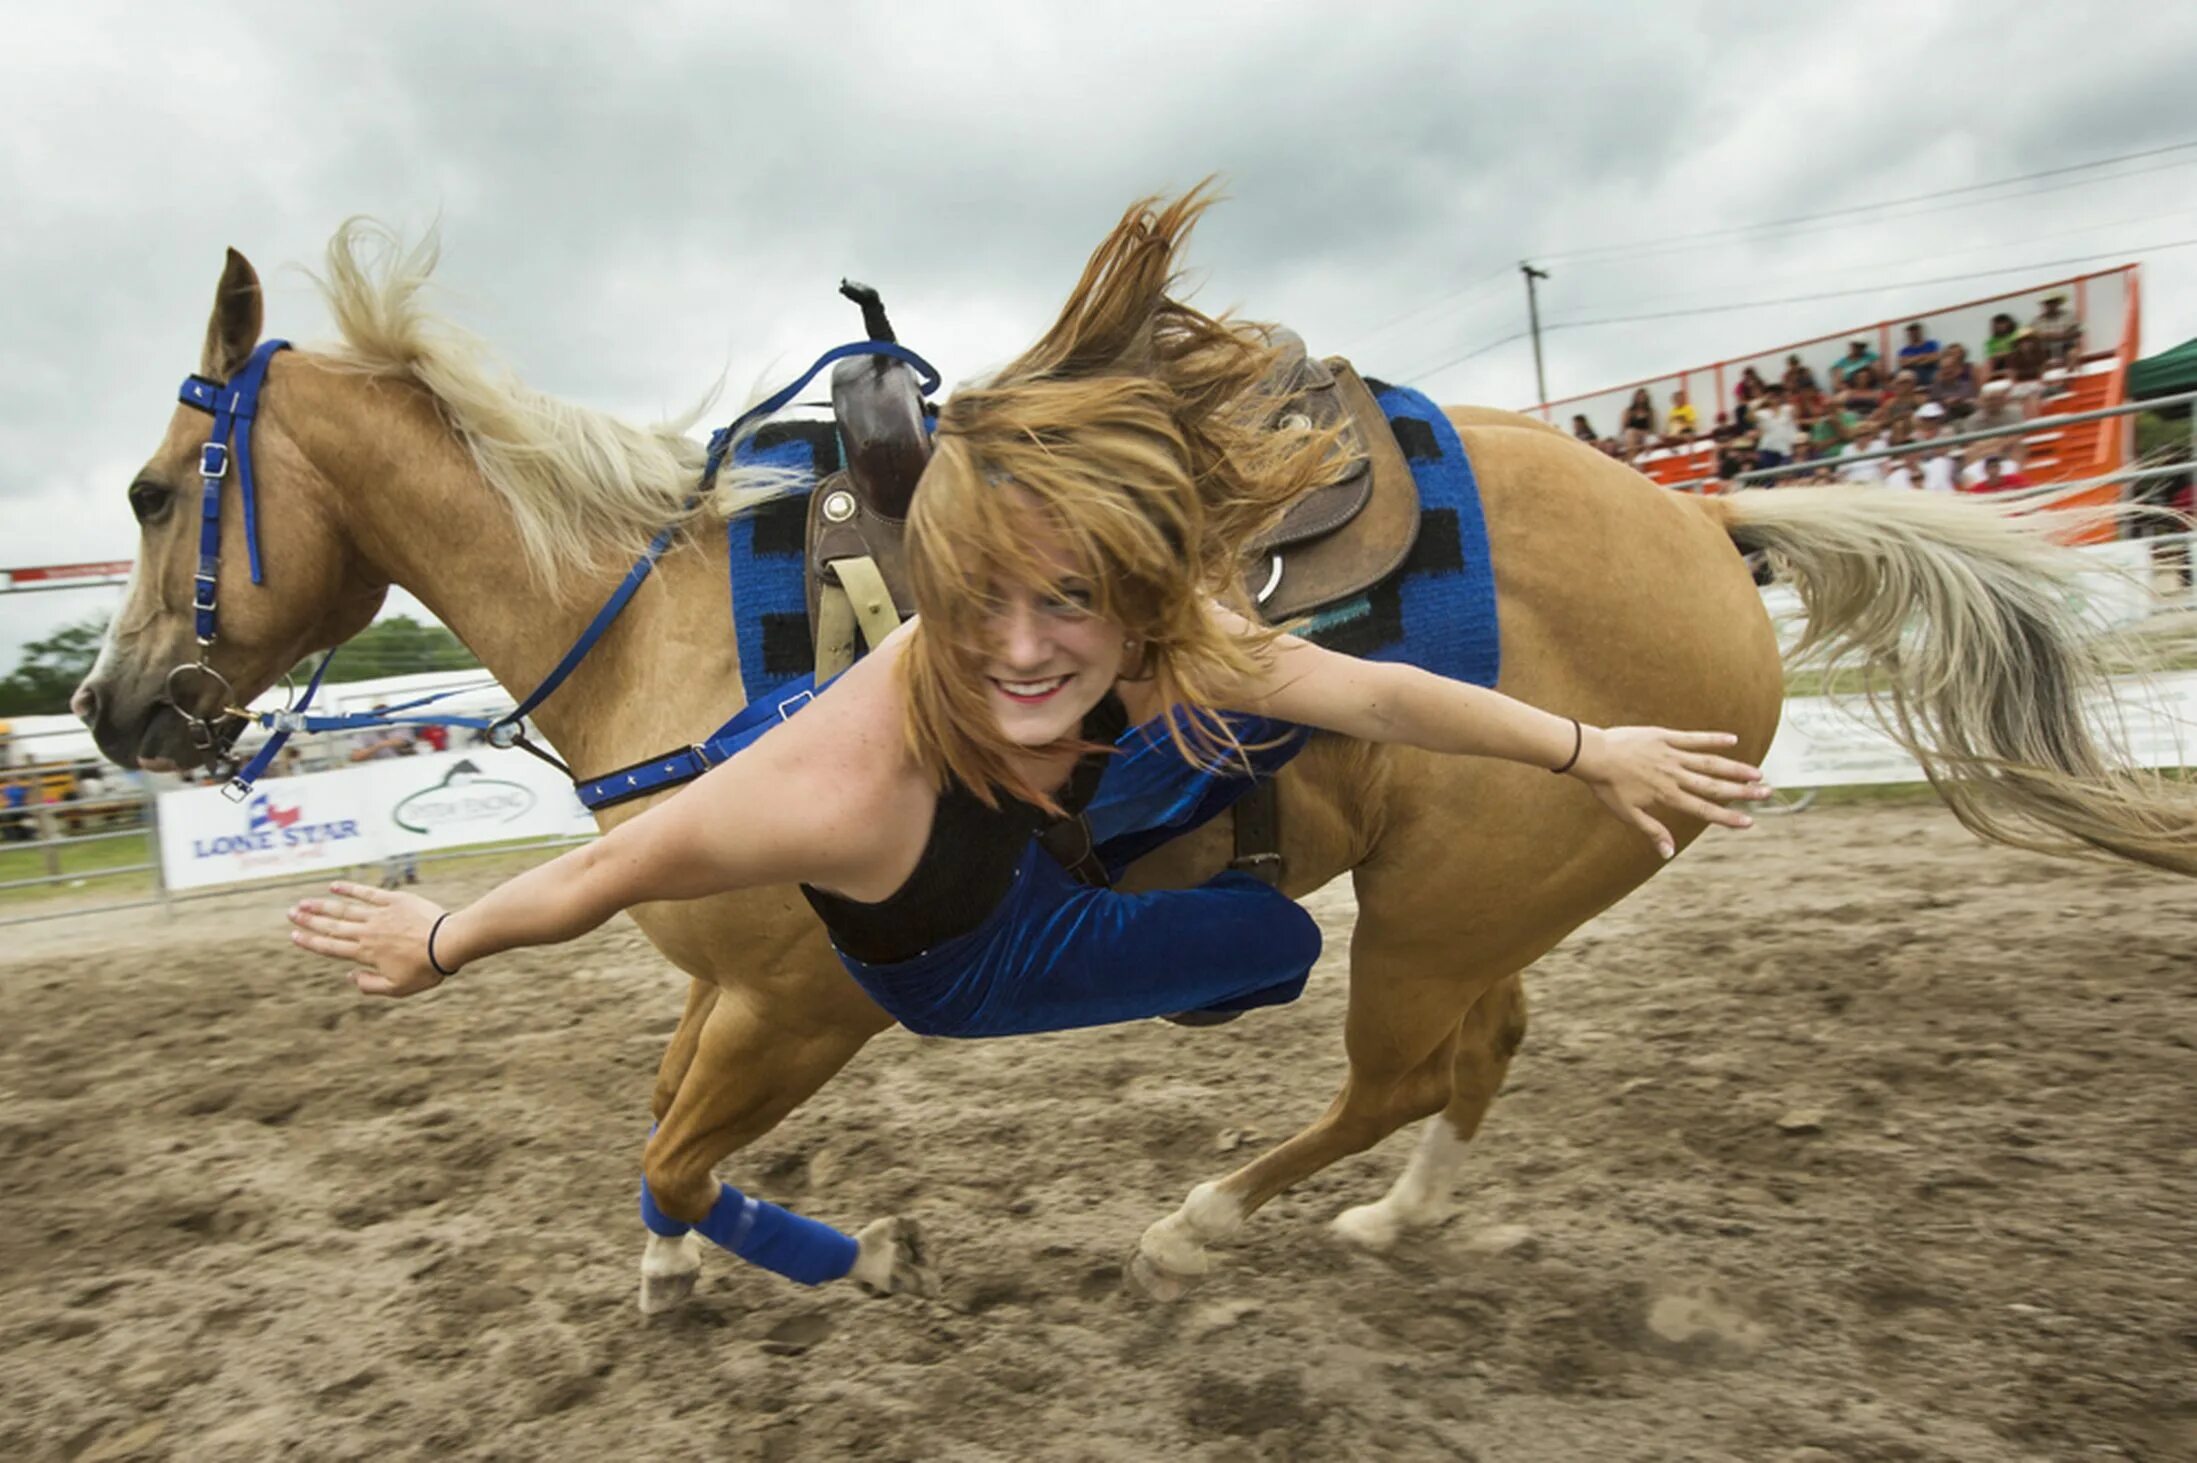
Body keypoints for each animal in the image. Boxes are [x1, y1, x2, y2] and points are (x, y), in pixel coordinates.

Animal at [77, 230, 2188, 1309]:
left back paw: (1204, 1217)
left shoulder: (804, 999)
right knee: (1479, 1057)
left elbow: (679, 1144)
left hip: (1432, 910)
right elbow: (654, 1131)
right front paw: (675, 1273)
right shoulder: (726, 983)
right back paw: (1390, 1222)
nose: (112, 711)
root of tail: (1708, 526)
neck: (679, 627)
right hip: (1487, 896)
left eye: (159, 490)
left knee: (1399, 1066)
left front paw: (836, 1252)